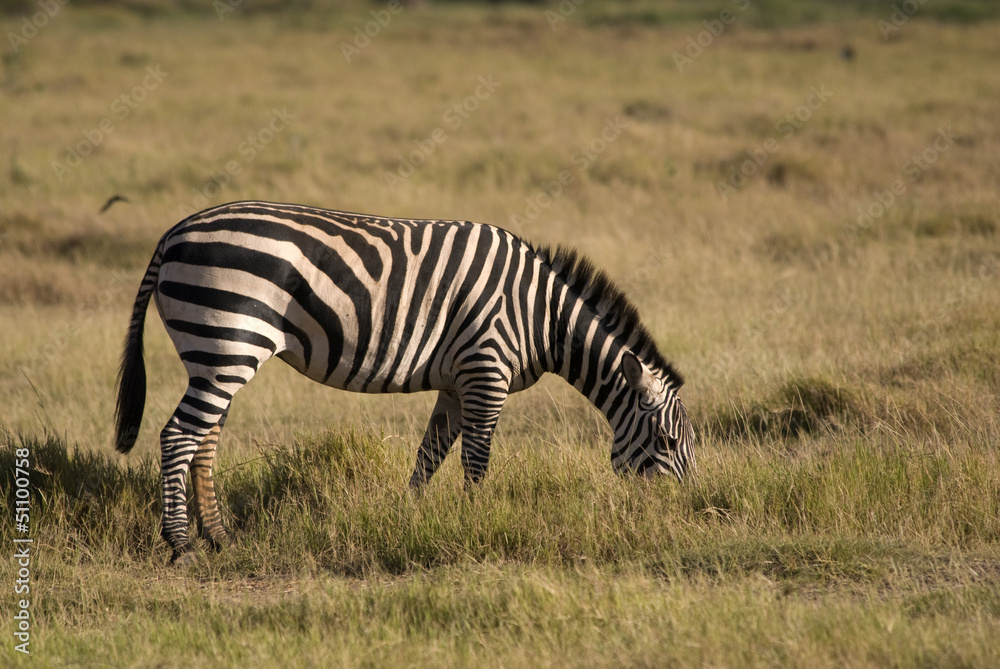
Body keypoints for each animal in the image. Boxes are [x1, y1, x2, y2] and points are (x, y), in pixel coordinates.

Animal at [114, 200, 695, 564]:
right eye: (667, 443)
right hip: (228, 342)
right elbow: (476, 459)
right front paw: (475, 523)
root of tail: (173, 233)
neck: (540, 316)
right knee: (178, 437)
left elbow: (430, 453)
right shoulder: (486, 369)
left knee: (204, 440)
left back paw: (220, 536)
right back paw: (182, 546)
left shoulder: (459, 381)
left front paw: (409, 517)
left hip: (218, 355)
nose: (685, 513)